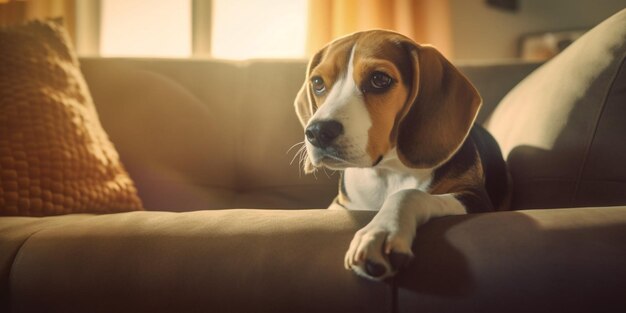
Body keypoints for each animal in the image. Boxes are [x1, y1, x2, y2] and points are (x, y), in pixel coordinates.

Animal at [292, 29, 508, 280]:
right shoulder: (340, 204)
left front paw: (379, 232)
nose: (317, 131)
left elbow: (409, 194)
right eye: (317, 82)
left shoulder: (475, 198)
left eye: (379, 79)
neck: (387, 171)